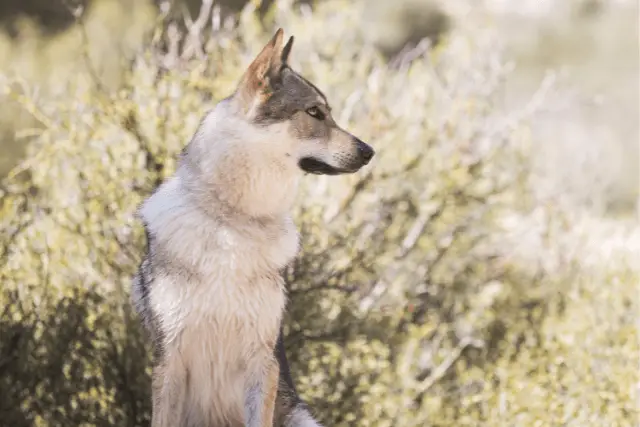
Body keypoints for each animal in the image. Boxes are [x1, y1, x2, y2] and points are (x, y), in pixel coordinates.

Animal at [131, 27, 376, 427]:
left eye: (327, 112)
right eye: (315, 112)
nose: (369, 151)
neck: (234, 222)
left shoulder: (262, 361)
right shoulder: (170, 360)